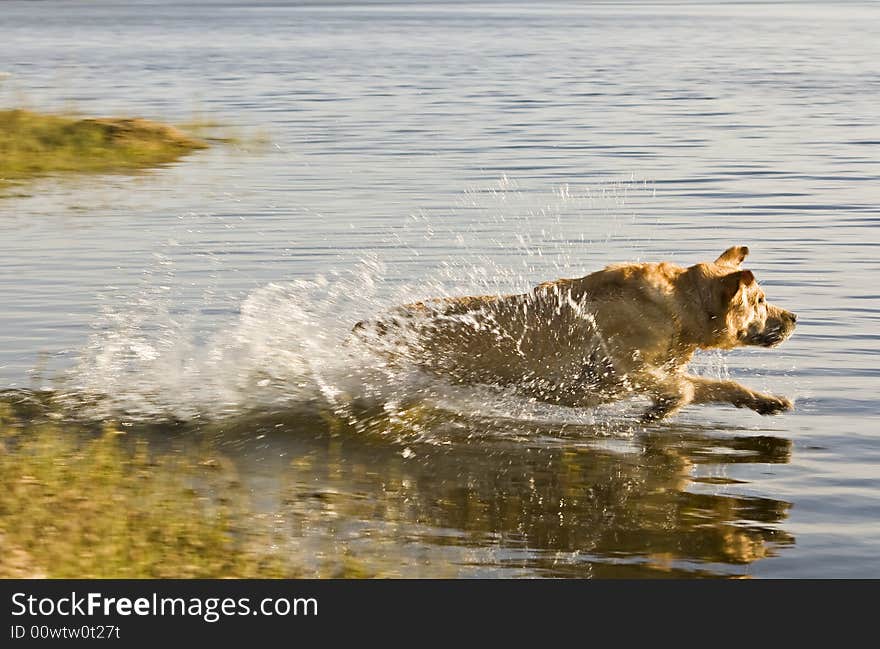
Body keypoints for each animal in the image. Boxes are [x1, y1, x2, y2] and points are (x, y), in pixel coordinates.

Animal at [352, 247, 796, 420]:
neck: (678, 308)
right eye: (761, 300)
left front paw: (766, 400)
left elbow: (720, 386)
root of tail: (363, 325)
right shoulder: (628, 368)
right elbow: (682, 390)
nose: (794, 317)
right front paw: (660, 410)